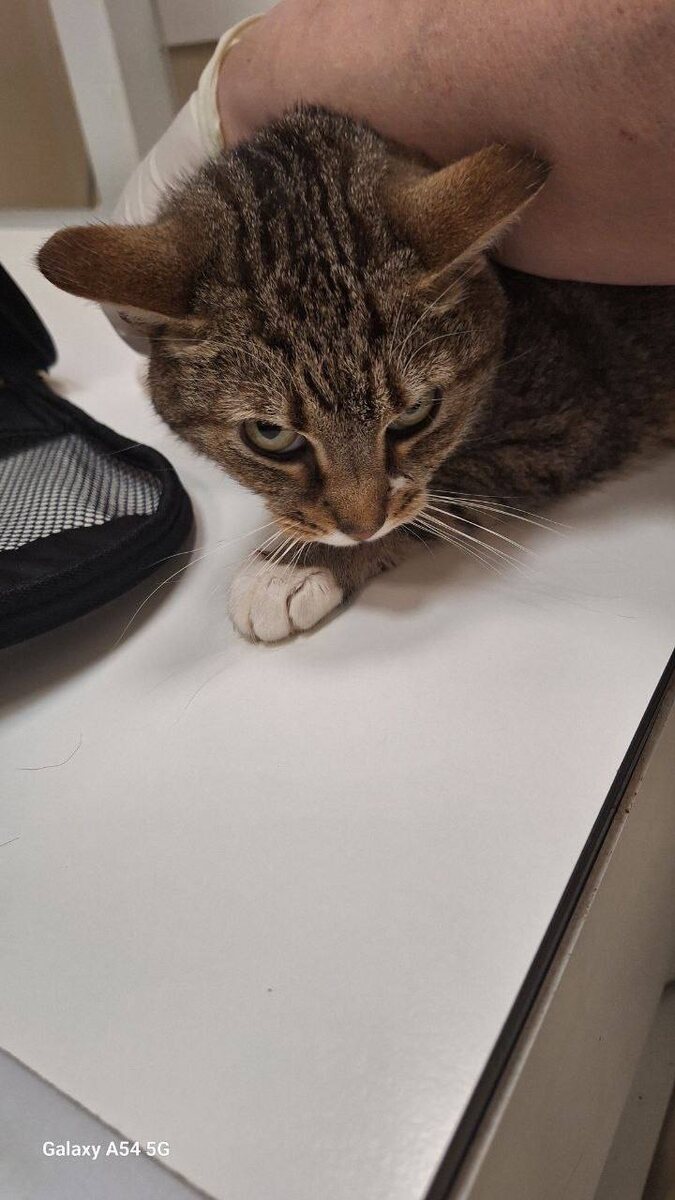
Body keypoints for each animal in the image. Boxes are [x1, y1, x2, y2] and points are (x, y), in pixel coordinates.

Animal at [38, 107, 675, 642]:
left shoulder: (572, 419)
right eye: (271, 435)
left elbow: (445, 489)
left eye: (416, 412)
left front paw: (293, 568)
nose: (362, 527)